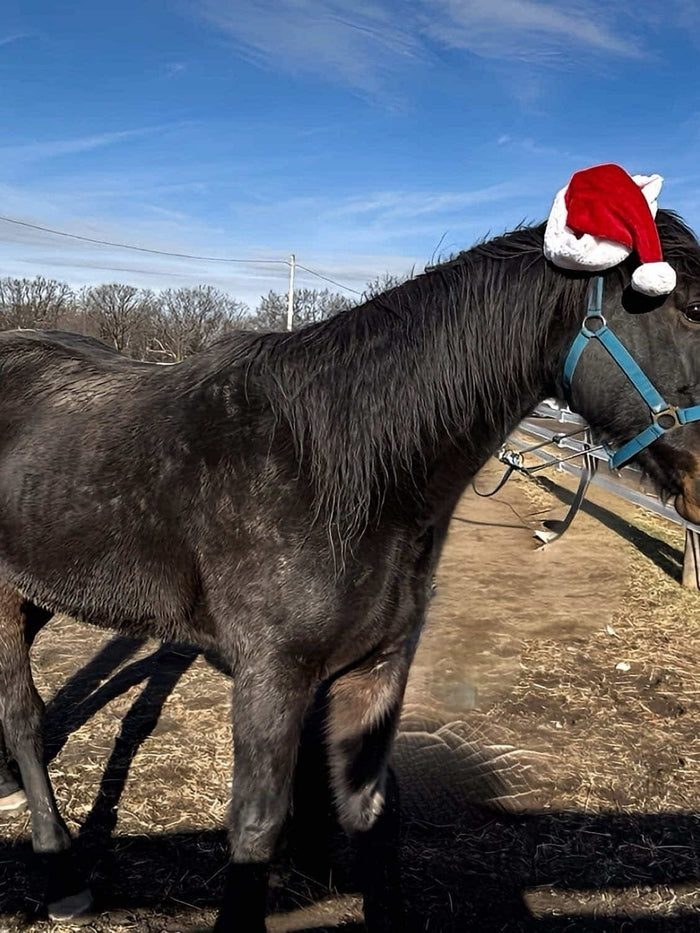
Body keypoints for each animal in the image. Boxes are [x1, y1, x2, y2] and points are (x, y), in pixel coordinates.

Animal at [1, 208, 700, 931]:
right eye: (692, 309)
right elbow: (256, 824)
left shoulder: (377, 665)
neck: (338, 469)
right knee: (22, 713)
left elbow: (367, 811)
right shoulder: (271, 675)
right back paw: (59, 874)